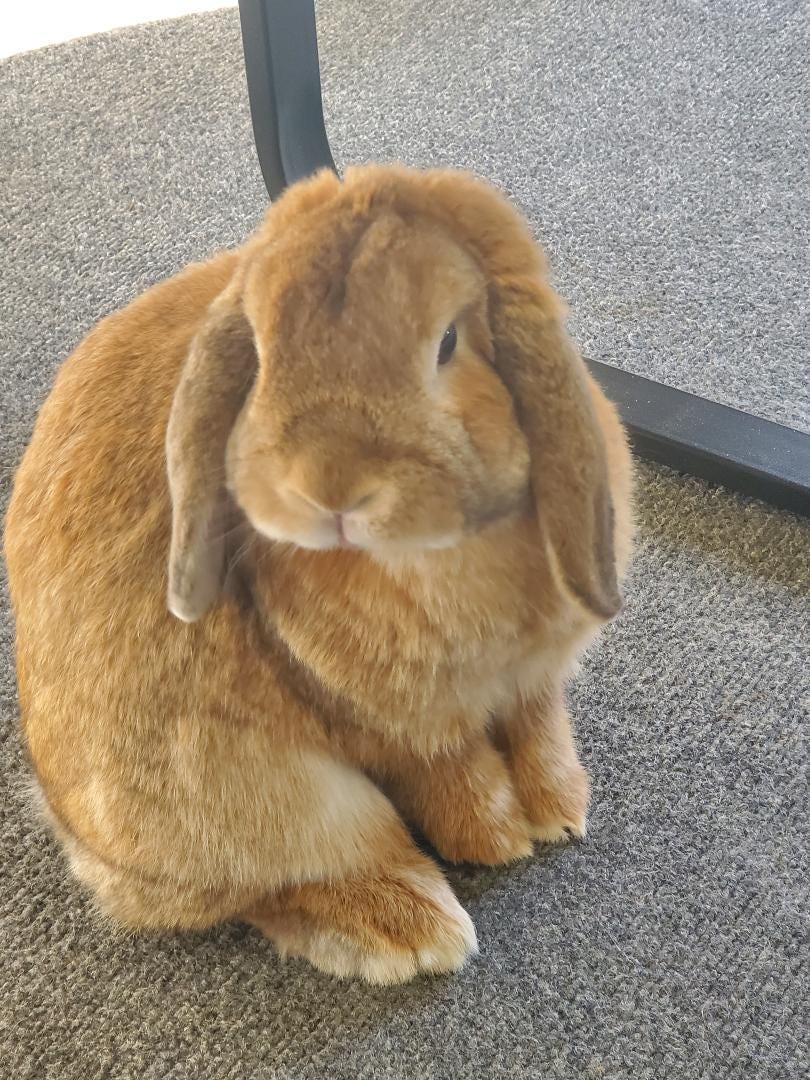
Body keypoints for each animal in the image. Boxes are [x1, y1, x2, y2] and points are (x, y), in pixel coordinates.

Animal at [4, 164, 634, 985]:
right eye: (261, 355)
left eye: (448, 343)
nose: (330, 487)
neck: (433, 556)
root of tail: (77, 837)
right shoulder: (400, 729)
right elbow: (454, 775)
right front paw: (497, 842)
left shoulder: (532, 681)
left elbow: (538, 727)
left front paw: (559, 811)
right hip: (256, 800)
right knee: (272, 887)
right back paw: (408, 927)